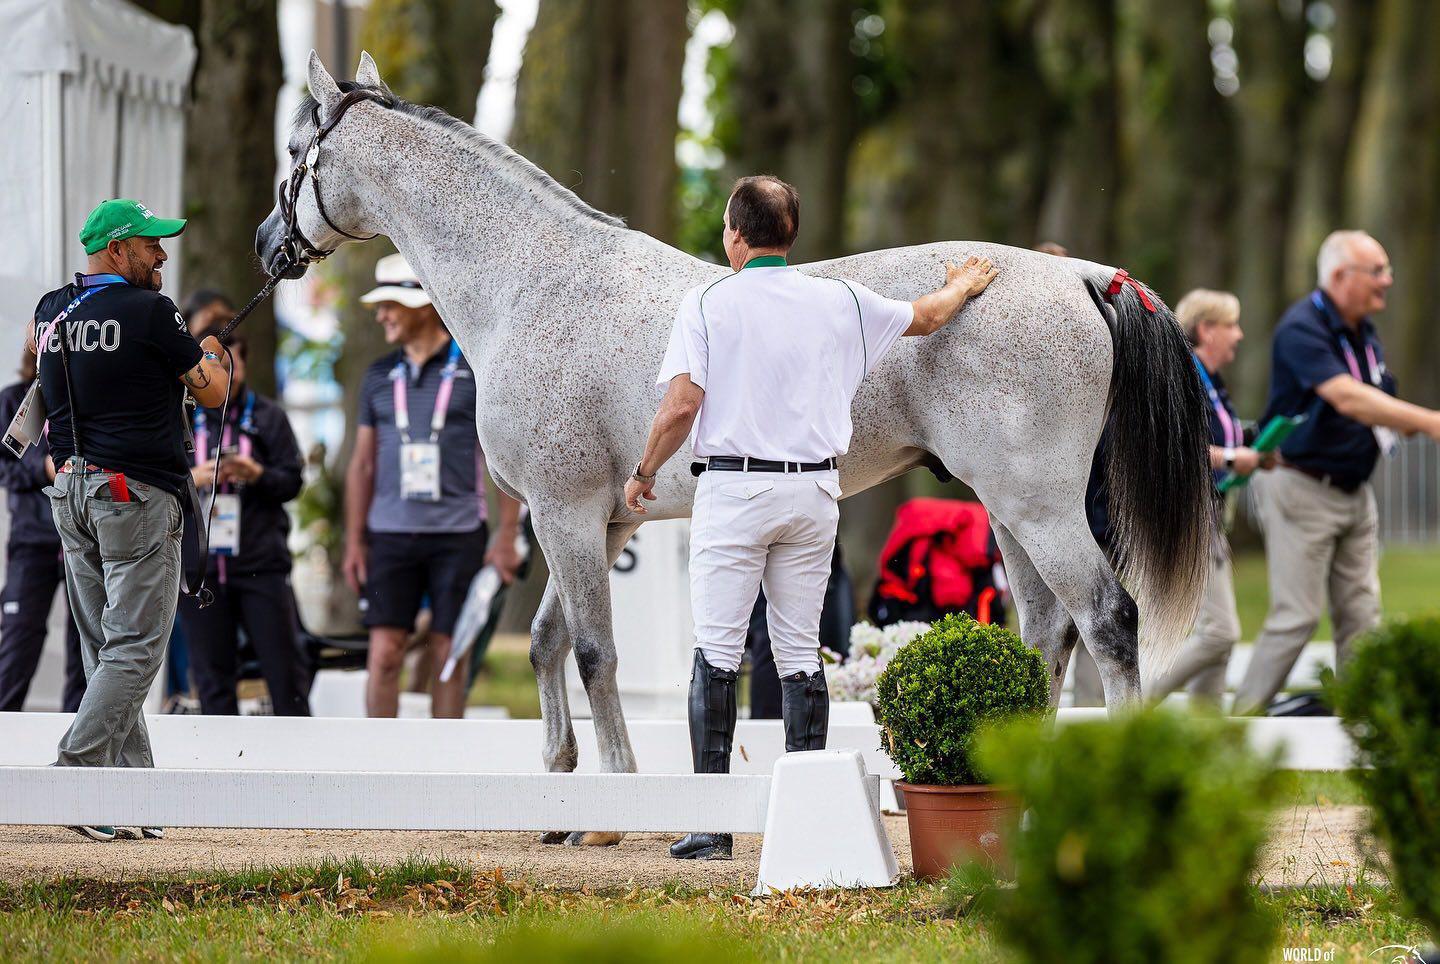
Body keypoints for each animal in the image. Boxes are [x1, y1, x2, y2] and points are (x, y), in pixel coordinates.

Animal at [256, 52, 1215, 841]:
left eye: (295, 154)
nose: (270, 246)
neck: (535, 282)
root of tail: (1081, 274)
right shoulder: (598, 519)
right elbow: (546, 641)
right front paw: (560, 798)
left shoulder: (564, 513)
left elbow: (594, 651)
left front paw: (610, 808)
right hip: (1010, 510)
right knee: (1047, 634)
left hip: (1039, 506)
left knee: (1110, 622)